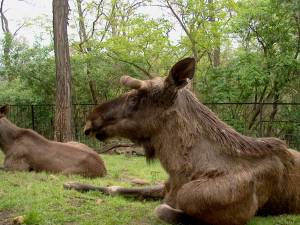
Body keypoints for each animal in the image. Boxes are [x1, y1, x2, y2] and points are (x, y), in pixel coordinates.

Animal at [64, 58, 300, 225]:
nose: (90, 120)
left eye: (133, 99)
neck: (181, 170)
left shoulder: (240, 213)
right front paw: (73, 183)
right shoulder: (166, 185)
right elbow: (115, 187)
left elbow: (162, 209)